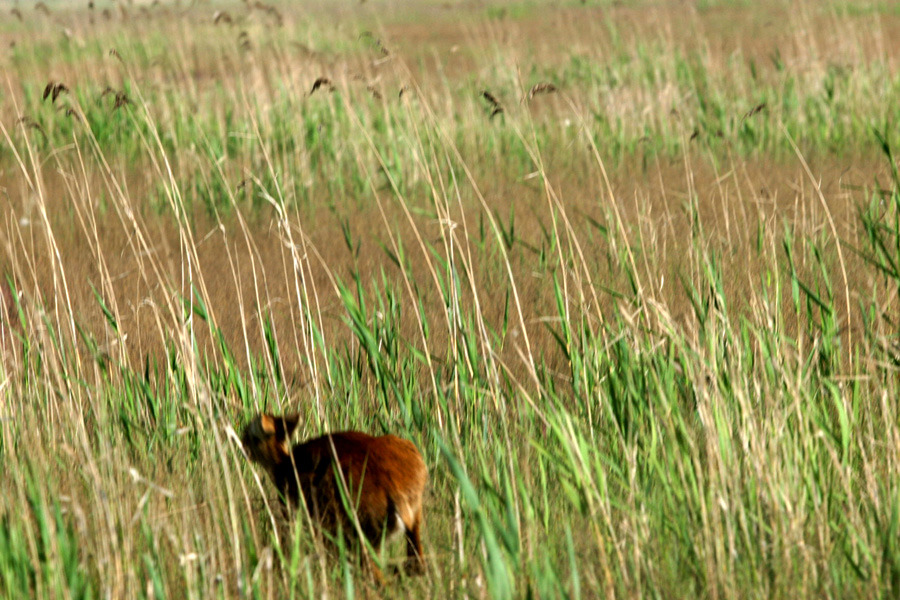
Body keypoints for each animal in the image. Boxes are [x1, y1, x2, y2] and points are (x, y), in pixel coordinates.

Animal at [241, 412, 428, 580]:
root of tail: (394, 487)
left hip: (361, 529)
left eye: (250, 435)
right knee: (416, 563)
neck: (284, 465)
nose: (242, 446)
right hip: (413, 519)